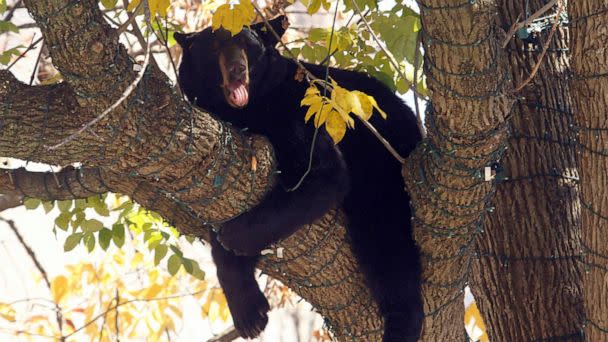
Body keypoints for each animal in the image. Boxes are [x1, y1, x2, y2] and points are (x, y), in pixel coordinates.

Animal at [175, 16, 422, 342]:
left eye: (246, 44)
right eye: (214, 45)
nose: (237, 68)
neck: (250, 109)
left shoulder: (300, 111)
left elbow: (323, 174)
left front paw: (233, 235)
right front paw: (249, 313)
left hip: (382, 176)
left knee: (389, 248)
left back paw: (401, 325)